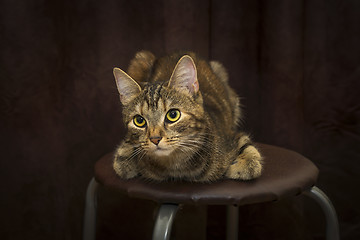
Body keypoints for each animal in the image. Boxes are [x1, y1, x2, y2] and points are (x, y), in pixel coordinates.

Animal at [112, 50, 262, 182]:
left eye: (173, 115)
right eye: (139, 120)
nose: (155, 139)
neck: (175, 167)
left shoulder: (231, 135)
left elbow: (249, 153)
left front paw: (243, 165)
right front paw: (126, 156)